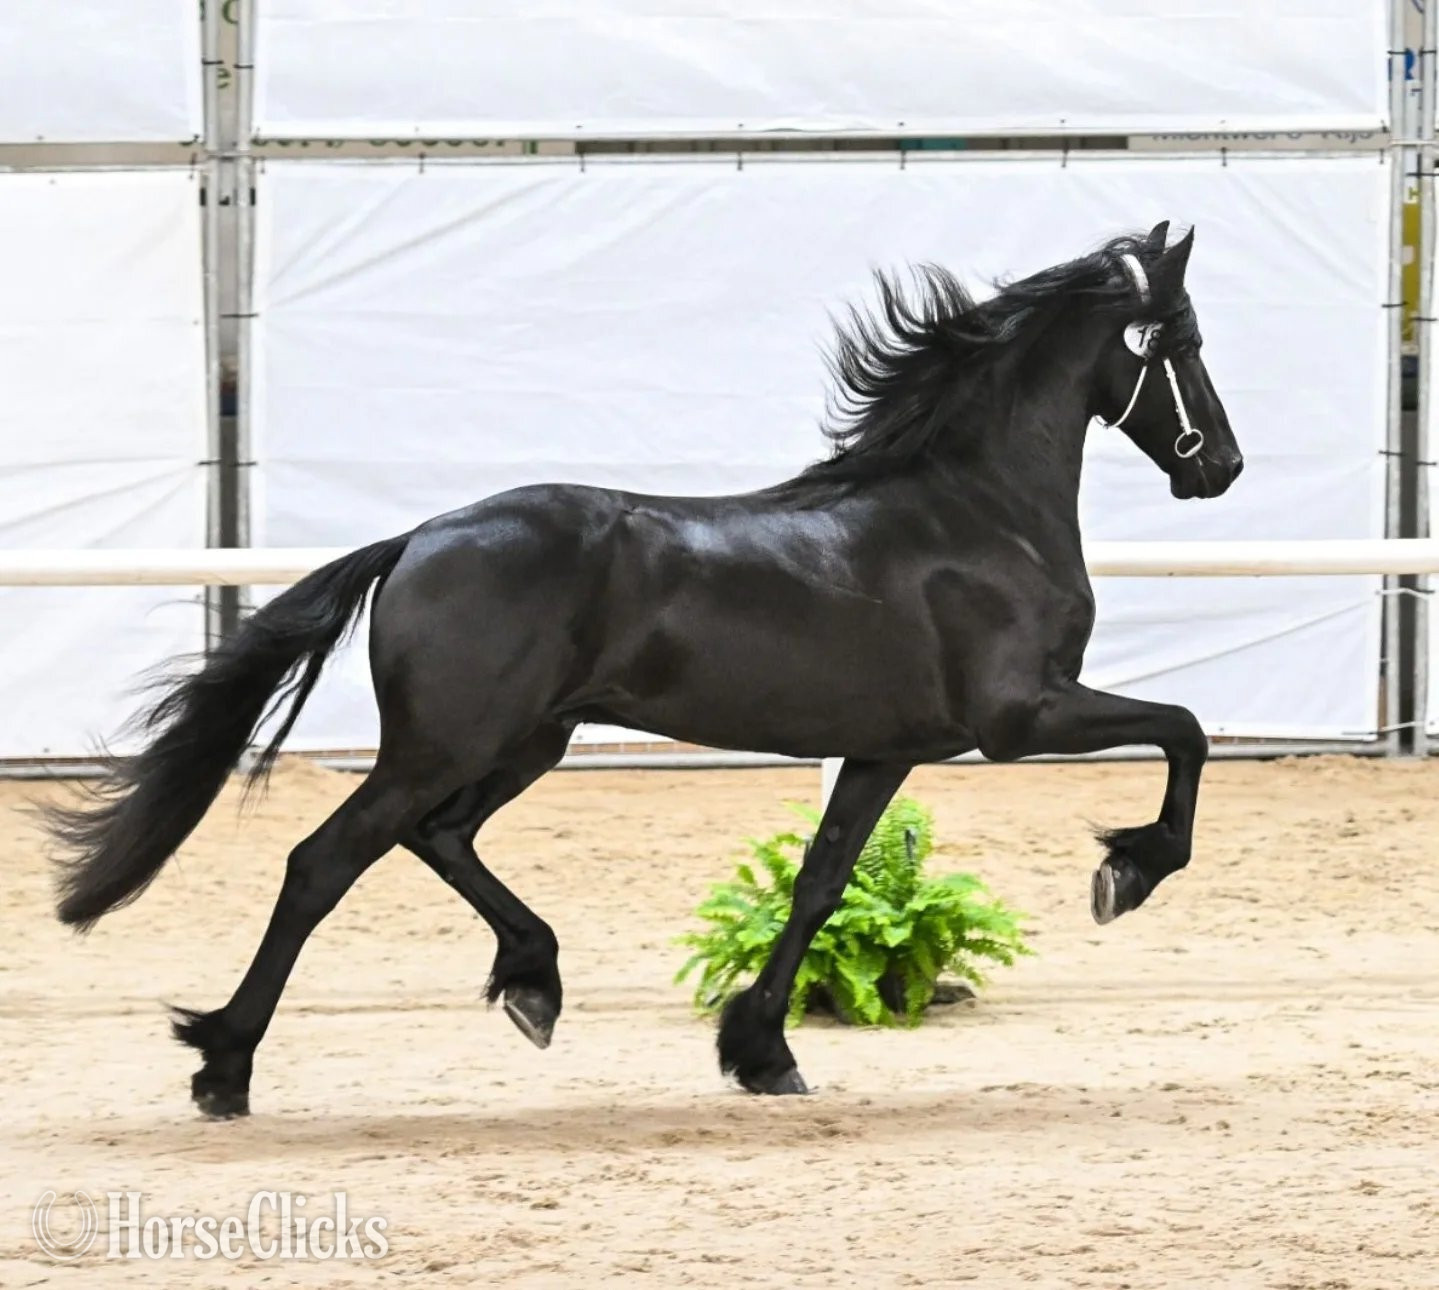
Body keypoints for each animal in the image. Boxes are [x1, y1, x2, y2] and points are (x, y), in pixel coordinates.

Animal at [47, 221, 1242, 1116]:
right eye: (1178, 338)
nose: (1220, 468)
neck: (974, 512)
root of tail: (419, 538)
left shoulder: (884, 751)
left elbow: (820, 882)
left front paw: (762, 1053)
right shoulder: (1017, 716)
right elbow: (1184, 728)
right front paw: (1124, 875)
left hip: (526, 740)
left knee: (437, 838)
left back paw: (532, 983)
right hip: (448, 743)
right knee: (324, 861)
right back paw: (224, 1067)